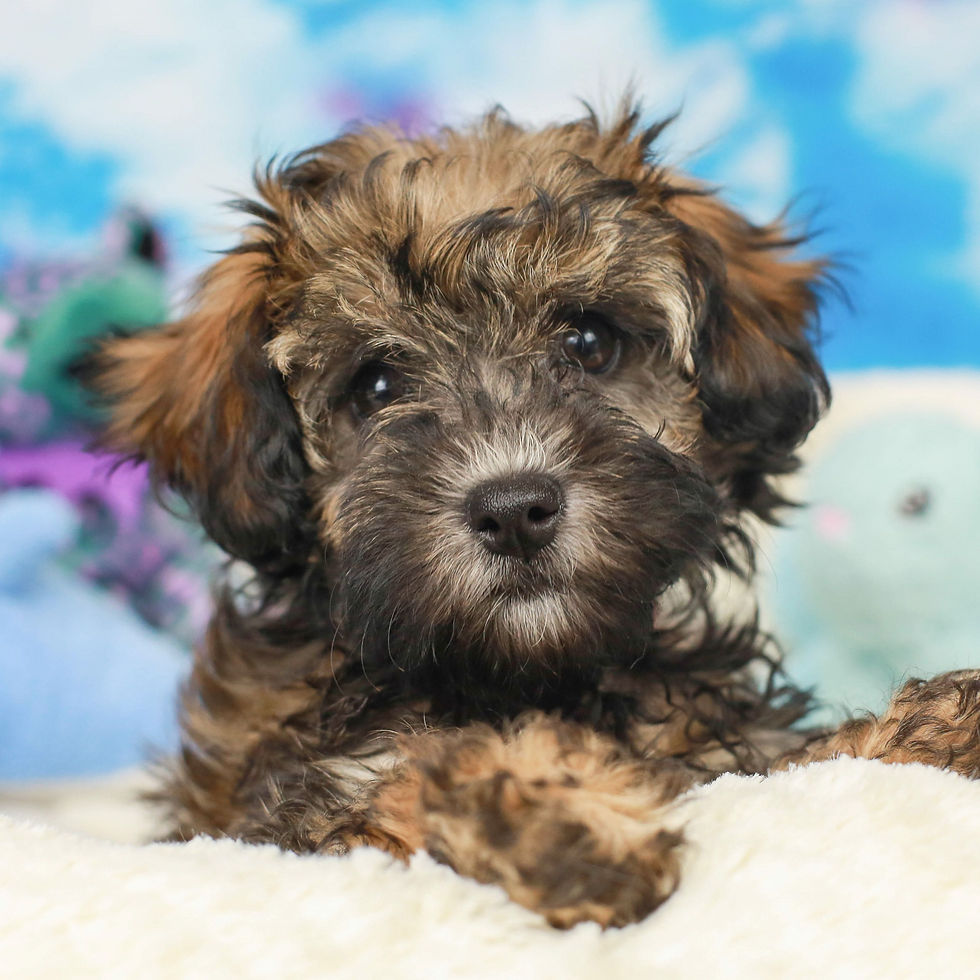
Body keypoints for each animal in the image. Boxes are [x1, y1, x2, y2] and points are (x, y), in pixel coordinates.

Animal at [89, 103, 980, 928]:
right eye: (375, 386)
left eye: (588, 342)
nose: (514, 510)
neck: (525, 670)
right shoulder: (297, 819)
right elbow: (403, 787)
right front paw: (558, 811)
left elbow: (785, 767)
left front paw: (923, 729)